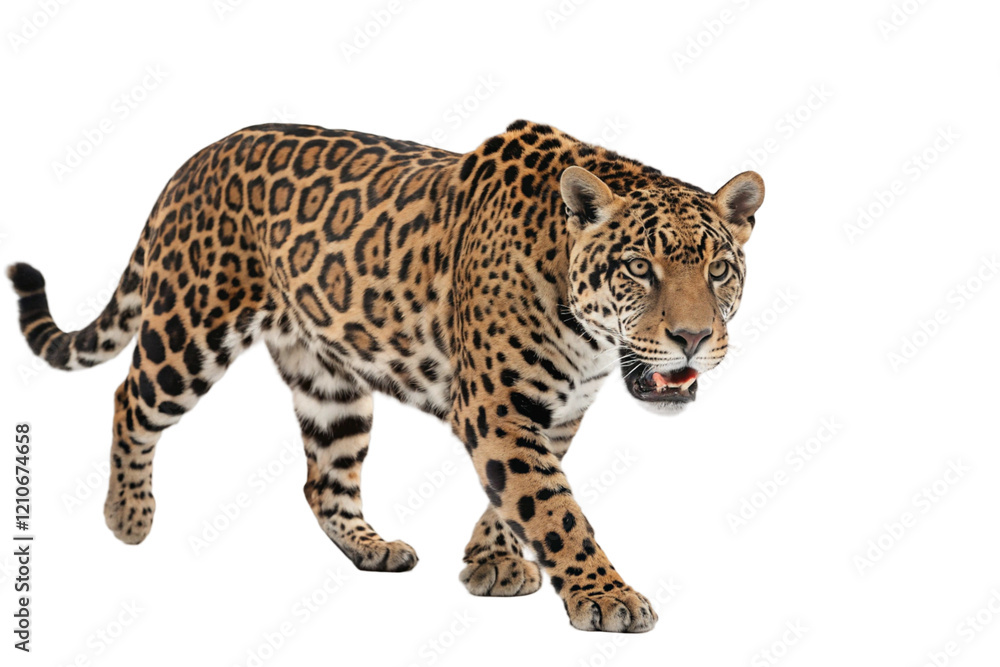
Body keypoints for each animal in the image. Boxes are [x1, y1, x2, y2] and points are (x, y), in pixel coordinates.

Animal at [9, 119, 763, 632]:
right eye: (640, 267)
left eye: (718, 269)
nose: (693, 338)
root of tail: (194, 159)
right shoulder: (499, 408)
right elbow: (554, 506)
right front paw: (606, 596)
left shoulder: (555, 412)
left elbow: (518, 497)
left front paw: (491, 561)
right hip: (189, 333)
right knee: (127, 398)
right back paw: (127, 514)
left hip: (329, 383)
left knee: (323, 480)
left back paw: (373, 550)